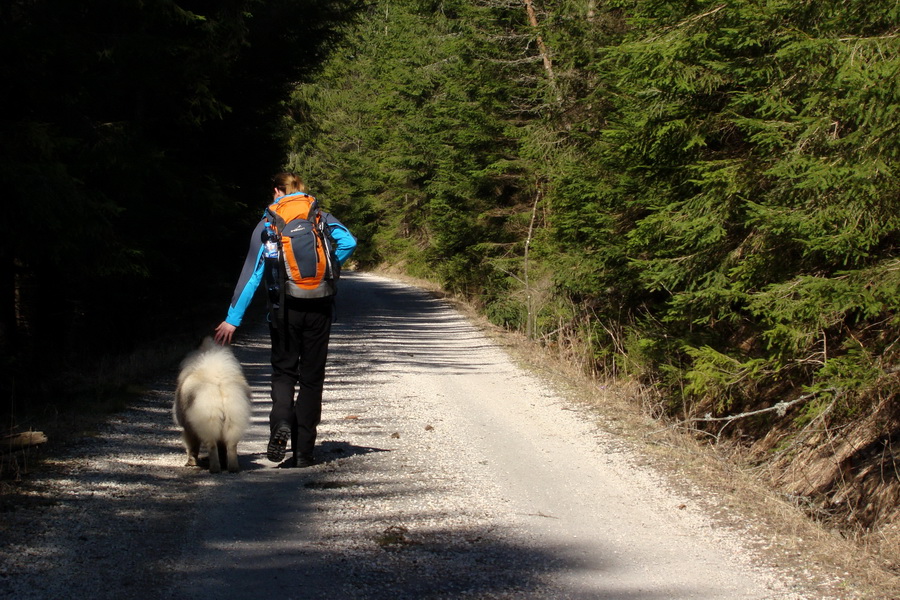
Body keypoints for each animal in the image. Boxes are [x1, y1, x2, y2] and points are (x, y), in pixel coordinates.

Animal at [172, 338, 251, 474]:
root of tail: (219, 387)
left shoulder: (188, 428)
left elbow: (192, 446)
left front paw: (191, 462)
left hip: (208, 421)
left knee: (212, 445)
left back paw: (214, 468)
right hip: (233, 421)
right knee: (230, 446)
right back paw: (232, 467)